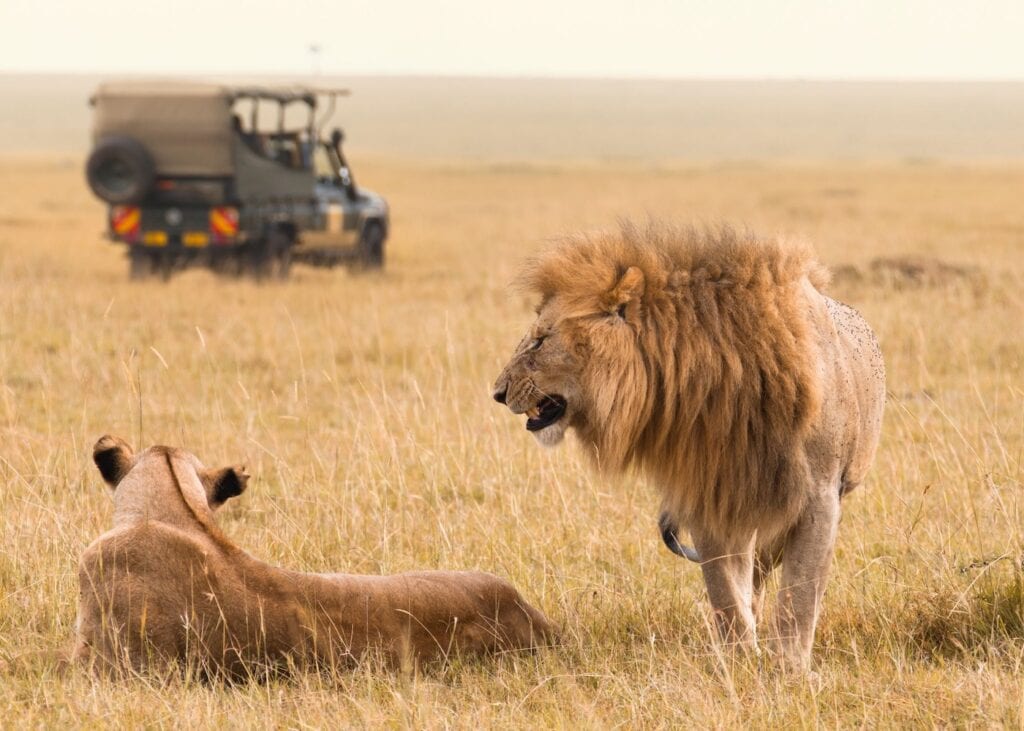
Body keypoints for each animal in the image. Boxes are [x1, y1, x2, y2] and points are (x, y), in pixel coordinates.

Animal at [492, 222, 885, 671]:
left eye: (541, 341)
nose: (498, 393)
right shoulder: (711, 495)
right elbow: (725, 591)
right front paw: (739, 660)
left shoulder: (819, 497)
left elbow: (800, 594)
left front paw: (790, 669)